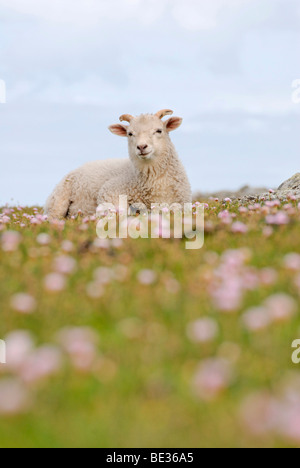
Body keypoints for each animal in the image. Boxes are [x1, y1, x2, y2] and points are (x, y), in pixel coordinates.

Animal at [44, 109, 192, 219]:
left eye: (159, 130)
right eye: (130, 133)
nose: (141, 147)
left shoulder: (182, 202)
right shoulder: (111, 190)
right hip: (58, 200)